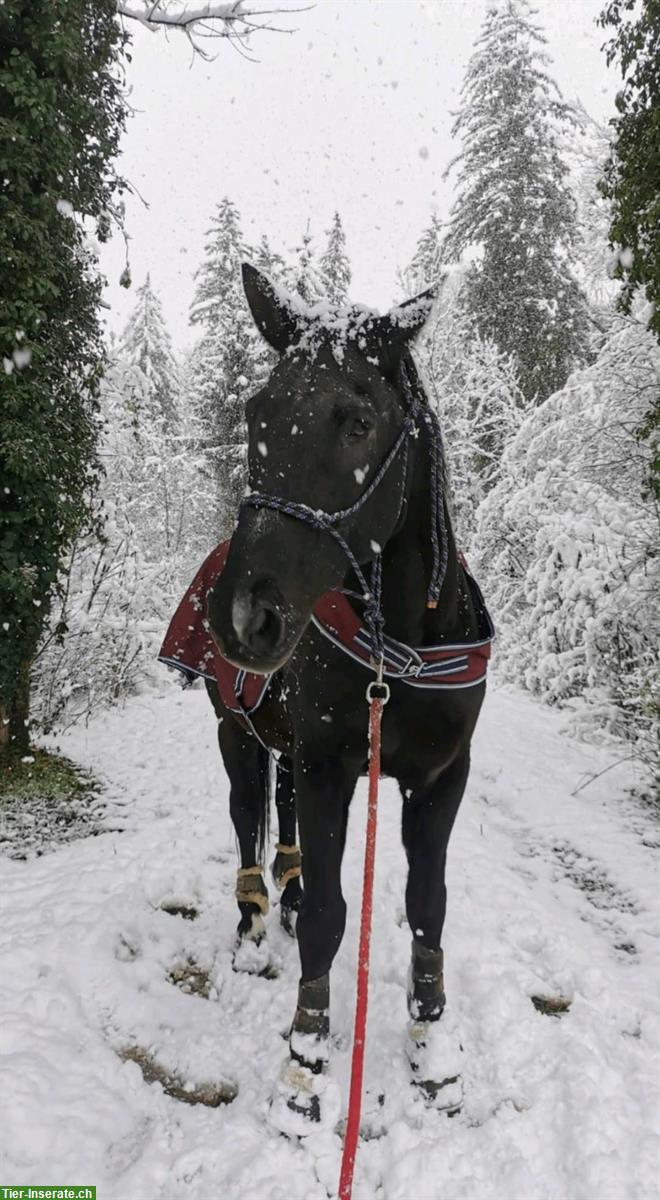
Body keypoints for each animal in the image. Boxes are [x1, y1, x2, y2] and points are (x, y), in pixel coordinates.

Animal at [201, 267, 492, 1128]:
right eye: (256, 413)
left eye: (360, 422)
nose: (242, 616)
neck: (403, 648)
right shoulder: (332, 766)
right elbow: (335, 915)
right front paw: (304, 1062)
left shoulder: (441, 779)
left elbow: (428, 902)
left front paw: (433, 1053)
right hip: (237, 737)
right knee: (247, 822)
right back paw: (255, 924)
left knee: (284, 817)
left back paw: (288, 896)